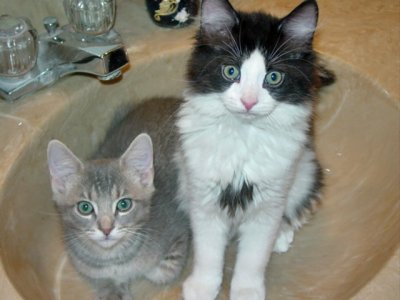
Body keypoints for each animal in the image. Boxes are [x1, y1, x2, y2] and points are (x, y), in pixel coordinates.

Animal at [46, 97, 190, 298]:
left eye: (124, 204)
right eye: (85, 207)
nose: (106, 229)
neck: (113, 259)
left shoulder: (179, 229)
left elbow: (162, 271)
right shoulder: (86, 267)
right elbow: (103, 283)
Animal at [177, 0, 326, 300]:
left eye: (274, 77)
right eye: (231, 71)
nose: (248, 101)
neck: (243, 136)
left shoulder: (269, 204)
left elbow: (253, 258)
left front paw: (246, 290)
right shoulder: (203, 196)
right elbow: (208, 252)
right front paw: (203, 286)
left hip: (304, 171)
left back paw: (282, 235)